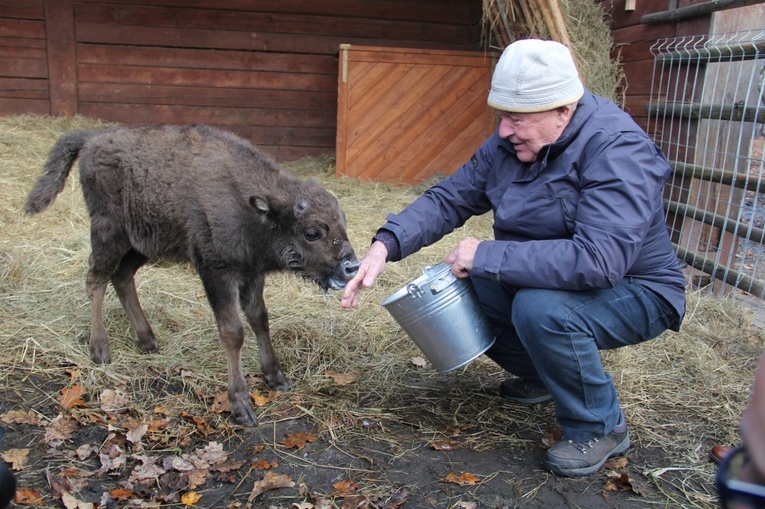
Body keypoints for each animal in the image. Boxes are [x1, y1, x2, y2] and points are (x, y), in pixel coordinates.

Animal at [23, 123, 358, 424]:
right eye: (312, 232)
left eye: (342, 221)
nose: (351, 266)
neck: (252, 208)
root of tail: (93, 138)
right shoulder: (216, 272)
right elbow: (233, 332)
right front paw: (241, 404)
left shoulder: (252, 274)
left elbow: (260, 319)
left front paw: (276, 377)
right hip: (109, 232)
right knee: (96, 279)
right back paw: (101, 350)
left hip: (142, 243)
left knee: (121, 277)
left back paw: (148, 341)